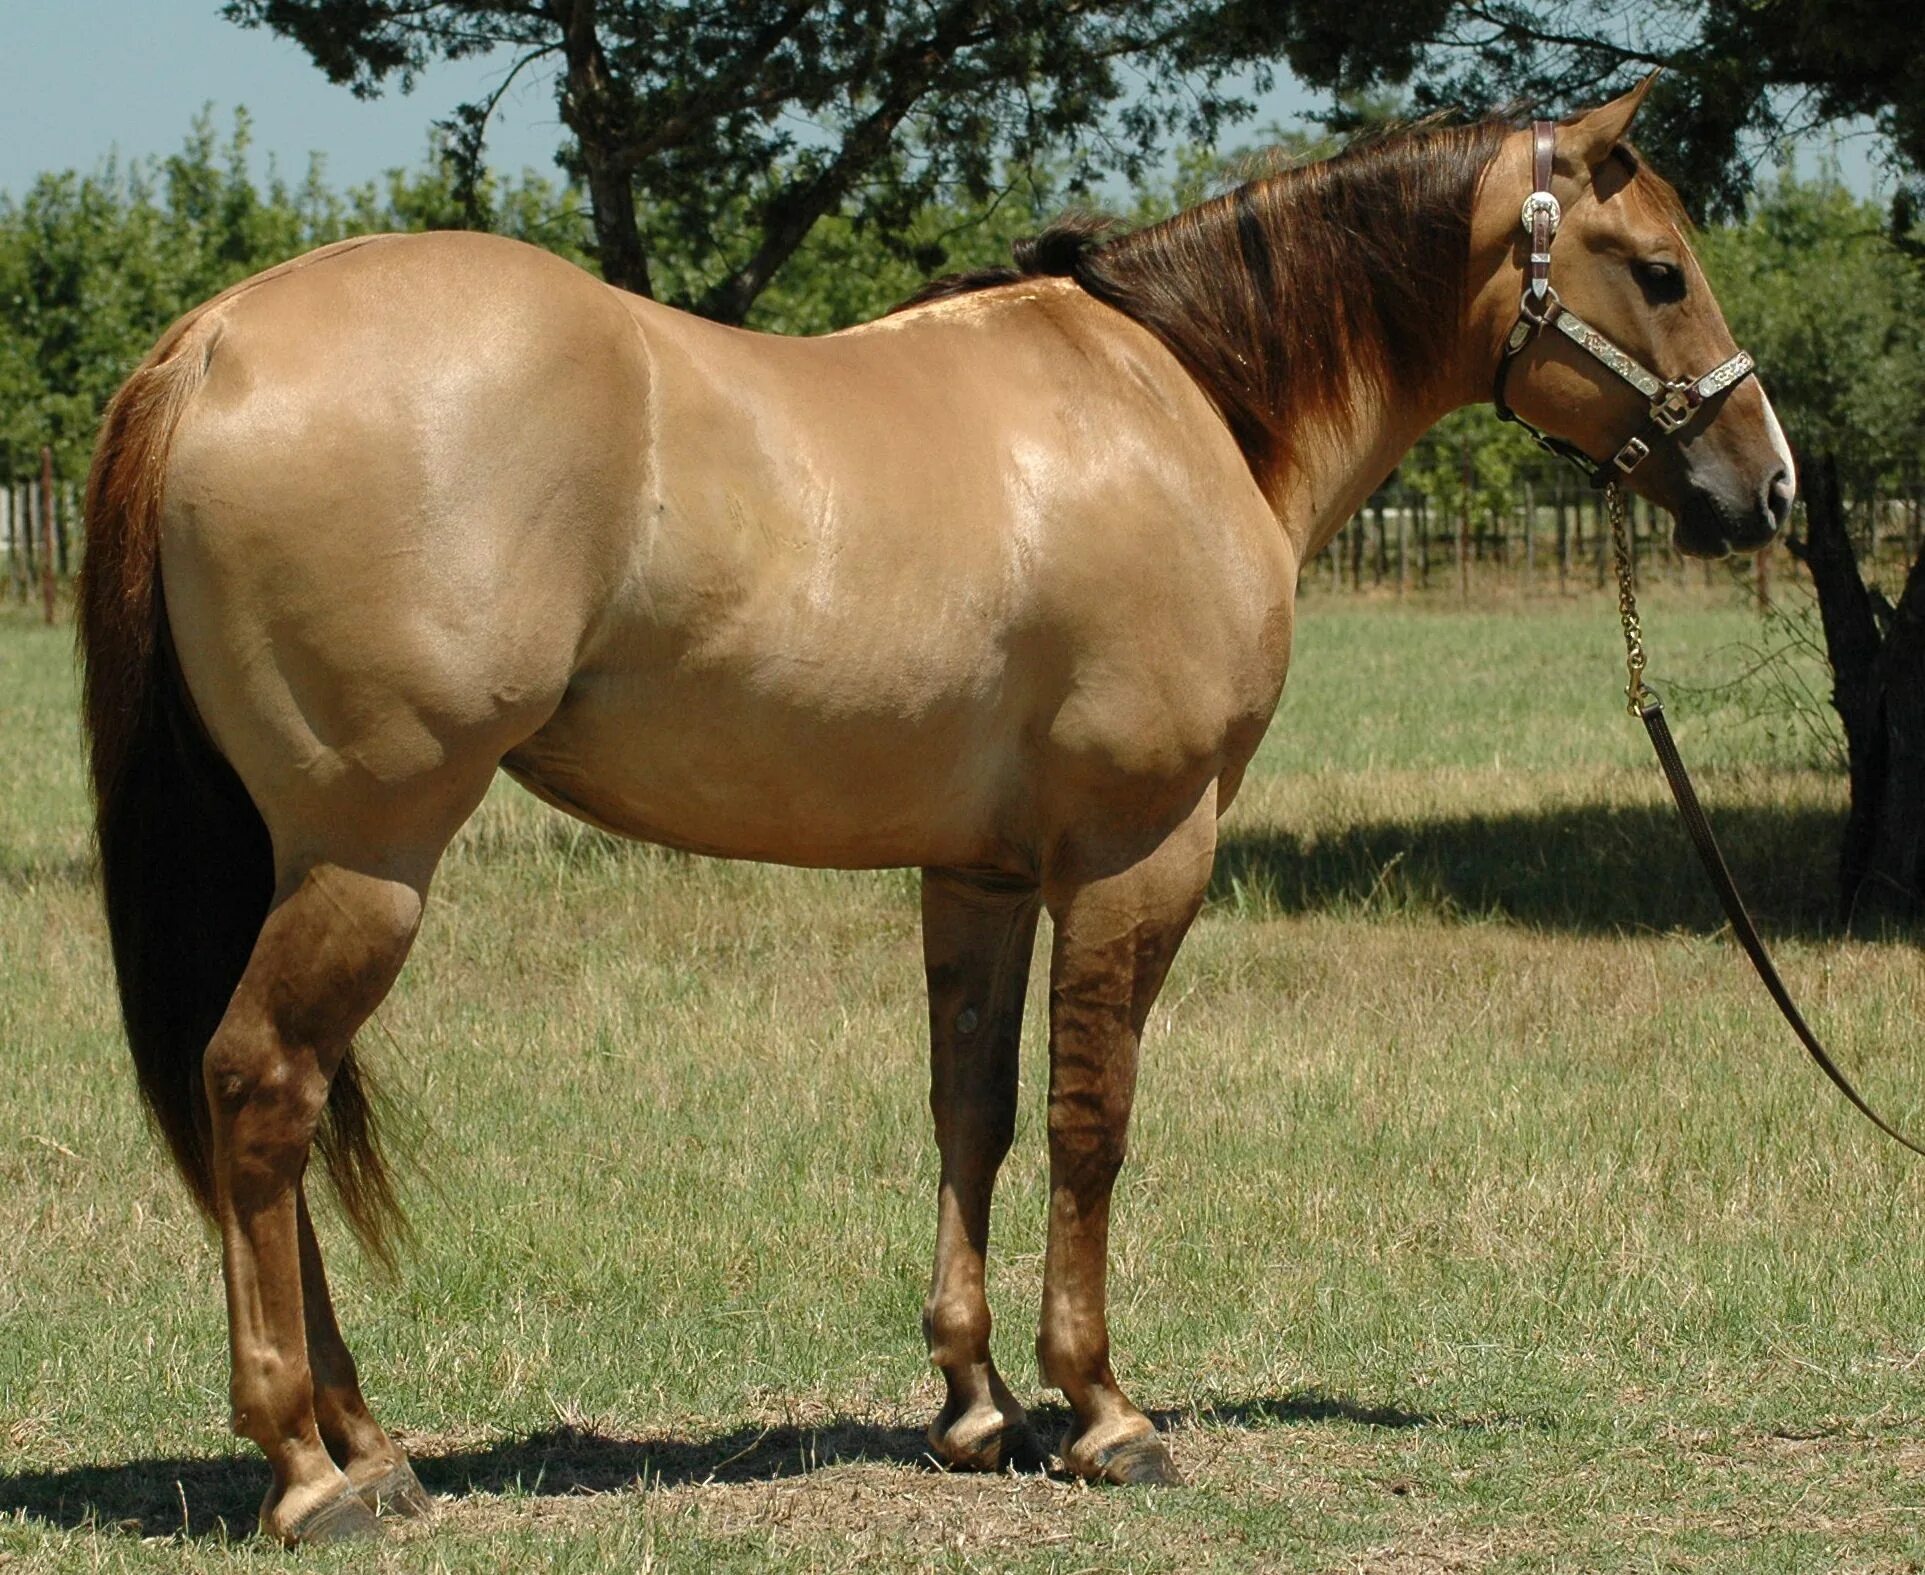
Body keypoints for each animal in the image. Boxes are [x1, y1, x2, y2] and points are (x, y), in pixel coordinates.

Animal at [75, 79, 1786, 1540]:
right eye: (1656, 268)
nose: (1762, 486)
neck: (1179, 405)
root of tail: (218, 339)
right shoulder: (1140, 847)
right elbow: (1094, 1118)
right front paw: (1102, 1408)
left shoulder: (978, 871)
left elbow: (975, 1104)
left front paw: (974, 1401)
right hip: (370, 851)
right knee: (259, 1088)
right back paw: (311, 1466)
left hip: (298, 856)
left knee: (259, 1109)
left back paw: (370, 1444)